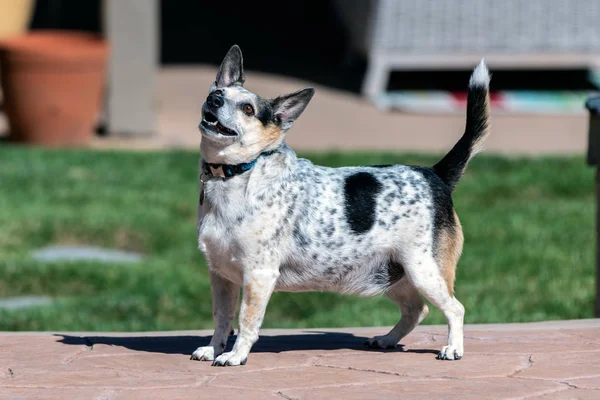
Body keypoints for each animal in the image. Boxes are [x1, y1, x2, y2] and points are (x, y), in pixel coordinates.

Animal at [195, 45, 490, 368]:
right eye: (217, 91)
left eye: (247, 109)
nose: (214, 99)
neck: (238, 173)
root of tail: (435, 173)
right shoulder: (221, 277)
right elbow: (221, 318)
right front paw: (214, 348)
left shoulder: (258, 276)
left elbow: (246, 321)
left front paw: (236, 355)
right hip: (395, 275)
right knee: (417, 310)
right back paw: (387, 340)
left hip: (424, 271)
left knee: (455, 308)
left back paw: (453, 348)